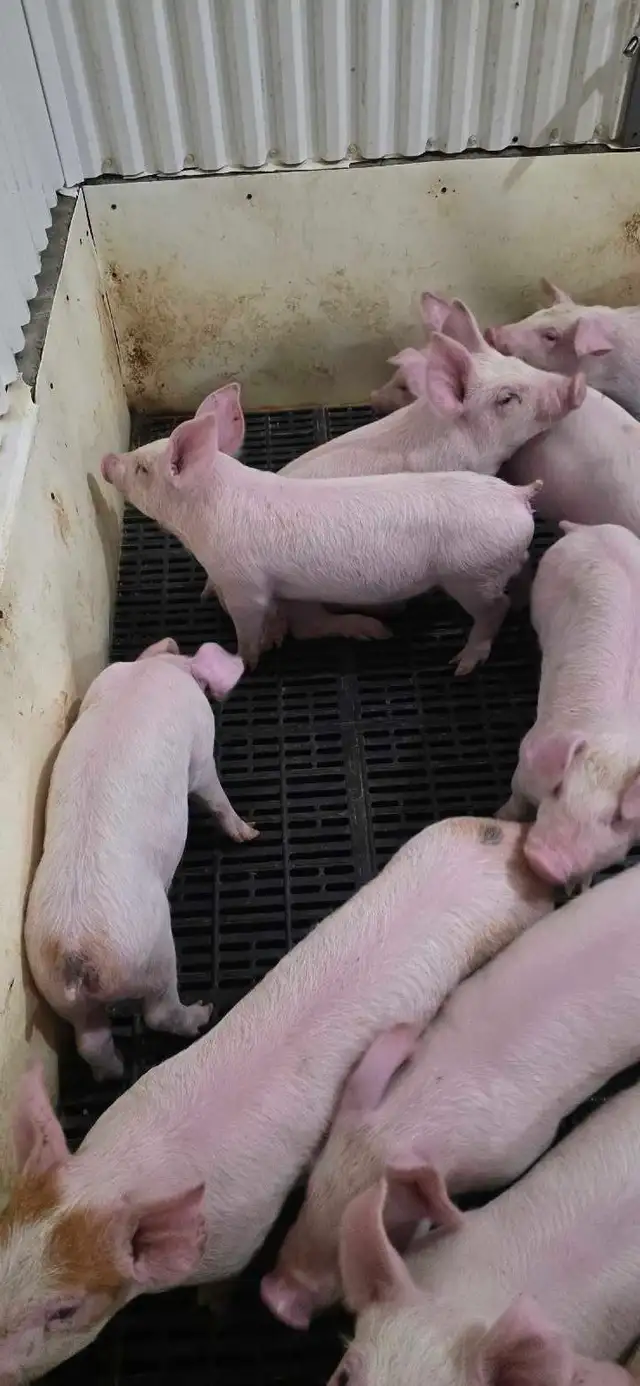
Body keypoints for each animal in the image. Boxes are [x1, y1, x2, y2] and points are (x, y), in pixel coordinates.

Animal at [0, 818, 551, 1383]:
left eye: (64, 1310)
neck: (122, 1176)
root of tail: (509, 835)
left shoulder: (244, 1231)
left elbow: (222, 1282)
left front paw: (211, 1308)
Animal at [25, 636, 256, 1082]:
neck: (147, 672)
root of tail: (76, 950)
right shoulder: (200, 752)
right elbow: (213, 793)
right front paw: (251, 832)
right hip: (154, 953)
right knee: (159, 1013)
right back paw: (202, 1013)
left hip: (54, 986)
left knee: (91, 1041)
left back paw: (112, 1074)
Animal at [101, 412, 543, 674]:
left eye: (142, 469)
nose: (107, 460)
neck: (202, 520)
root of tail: (517, 495)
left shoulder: (243, 582)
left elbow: (249, 622)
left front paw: (246, 658)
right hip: (501, 561)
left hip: (470, 574)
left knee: (495, 608)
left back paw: (461, 665)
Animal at [497, 522, 640, 885]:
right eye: (559, 789)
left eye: (615, 819)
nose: (545, 861)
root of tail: (590, 530)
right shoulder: (529, 754)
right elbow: (516, 798)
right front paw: (499, 817)